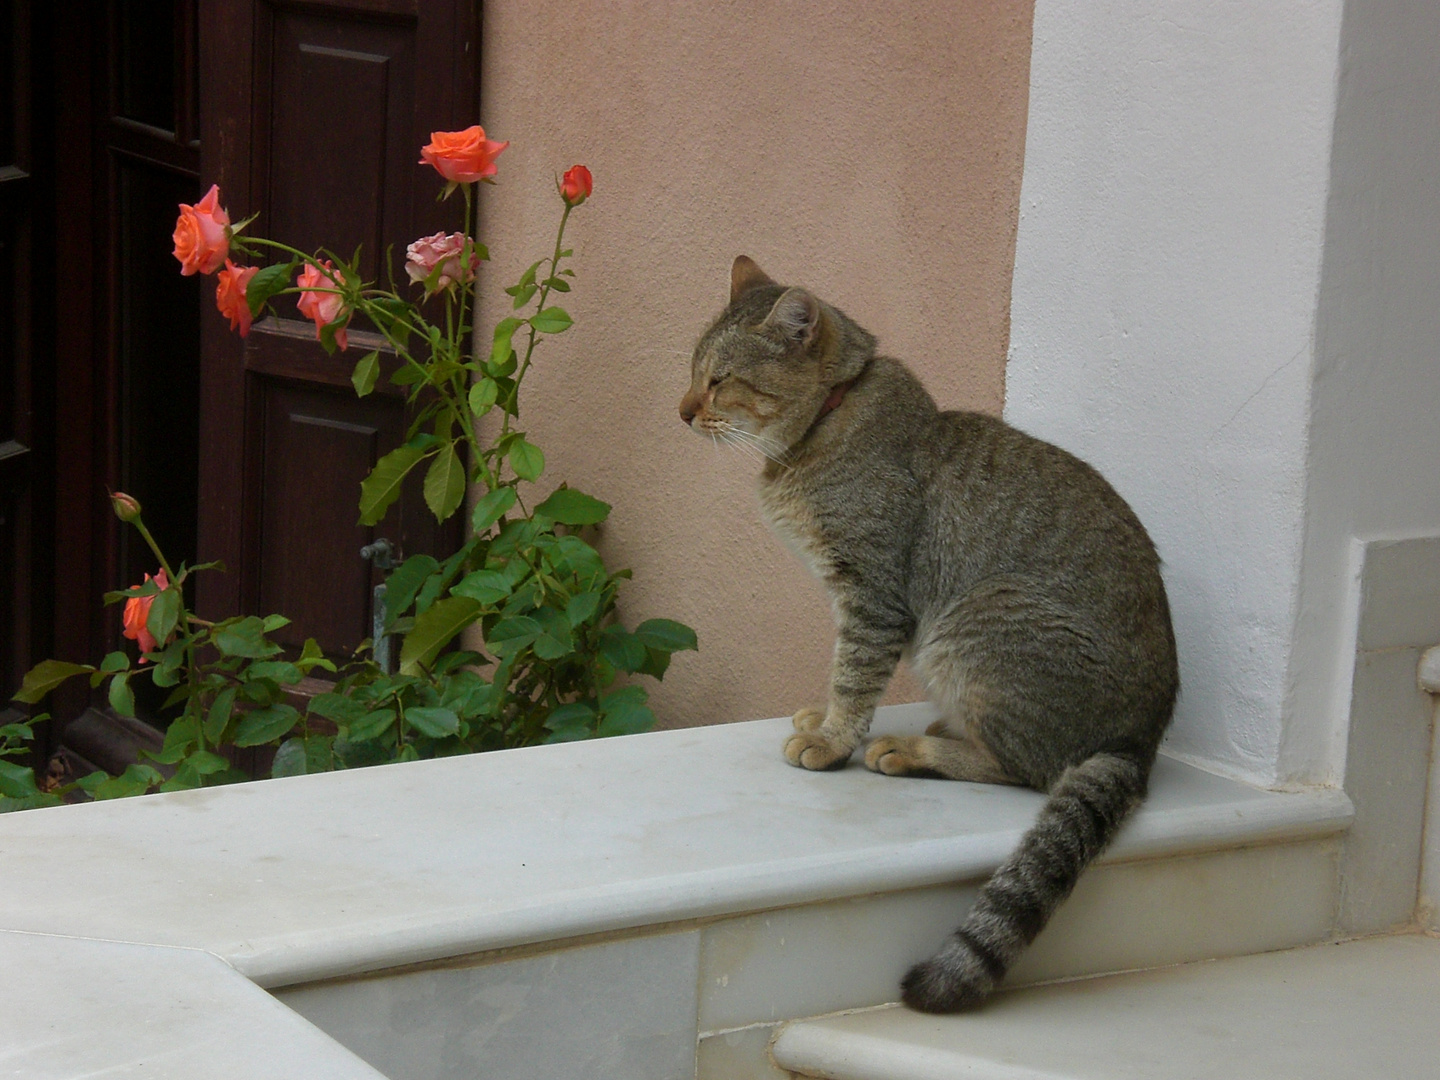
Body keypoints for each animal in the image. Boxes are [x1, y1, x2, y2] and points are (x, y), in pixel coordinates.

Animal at [679, 257, 1175, 1019]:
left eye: (720, 380)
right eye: (692, 372)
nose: (680, 410)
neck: (824, 428)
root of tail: (1141, 739)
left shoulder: (873, 597)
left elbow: (854, 675)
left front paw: (833, 739)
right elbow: (840, 675)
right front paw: (825, 718)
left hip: (972, 621)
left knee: (1030, 768)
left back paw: (913, 750)